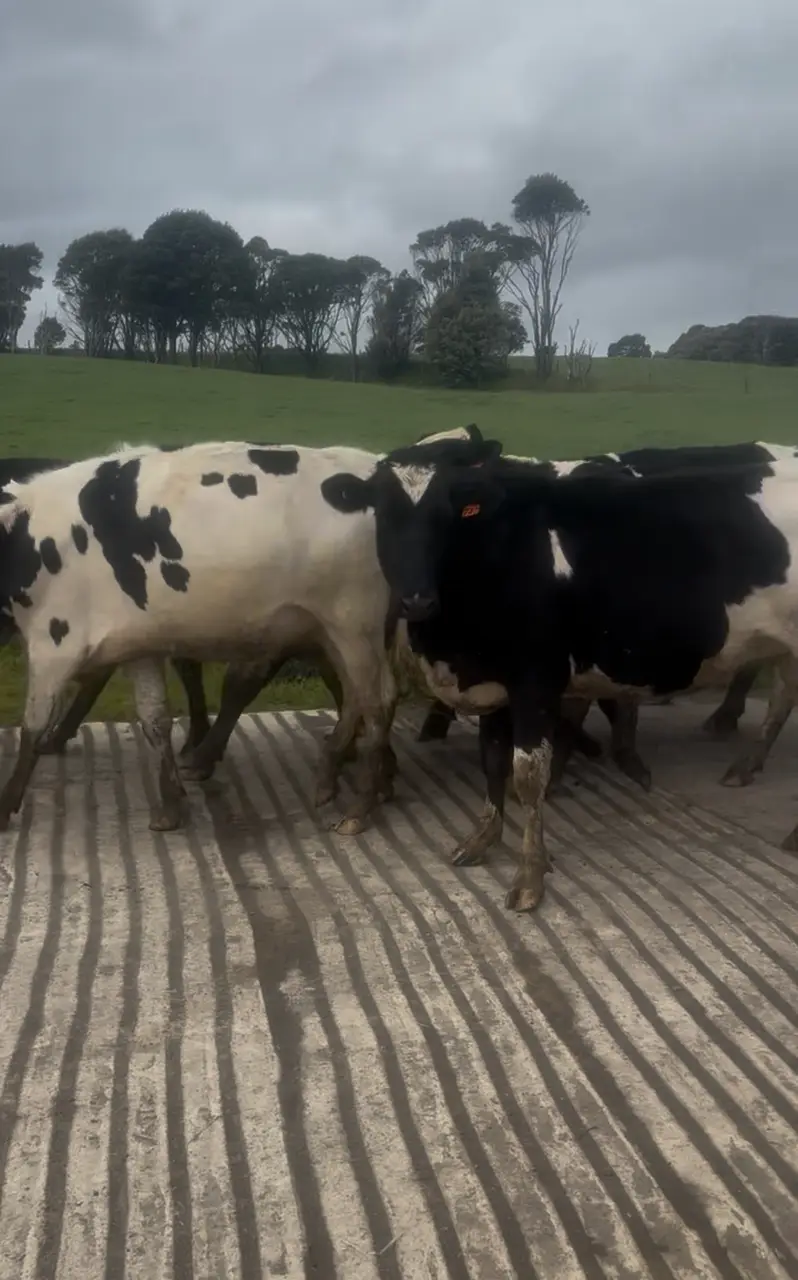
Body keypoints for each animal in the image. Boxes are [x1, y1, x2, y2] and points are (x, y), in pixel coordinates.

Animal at [0, 441, 397, 834]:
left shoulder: (55, 640)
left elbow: (33, 725)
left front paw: (7, 805)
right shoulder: (138, 648)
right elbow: (154, 720)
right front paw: (171, 804)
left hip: (354, 625)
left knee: (375, 703)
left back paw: (359, 806)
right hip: (333, 632)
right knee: (360, 698)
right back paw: (337, 779)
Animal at [321, 425, 798, 913]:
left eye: (448, 513)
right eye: (385, 514)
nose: (416, 599)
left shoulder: (536, 681)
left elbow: (528, 776)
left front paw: (530, 874)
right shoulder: (495, 684)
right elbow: (493, 761)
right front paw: (483, 839)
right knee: (783, 697)